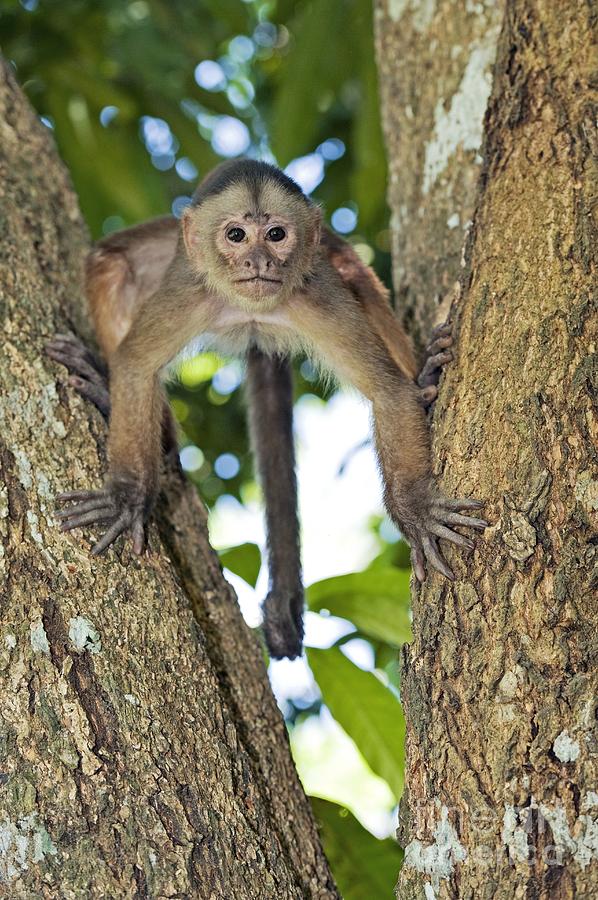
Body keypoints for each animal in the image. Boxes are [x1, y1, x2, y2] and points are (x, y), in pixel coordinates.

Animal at [47, 158, 488, 656]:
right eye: (237, 235)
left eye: (276, 235)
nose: (258, 261)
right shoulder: (189, 292)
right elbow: (135, 365)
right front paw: (126, 495)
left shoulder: (316, 296)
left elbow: (390, 390)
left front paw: (415, 509)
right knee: (110, 262)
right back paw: (132, 413)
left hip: (326, 255)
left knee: (354, 273)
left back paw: (427, 378)